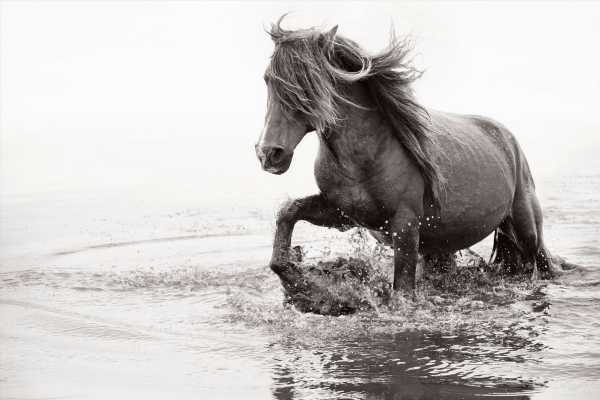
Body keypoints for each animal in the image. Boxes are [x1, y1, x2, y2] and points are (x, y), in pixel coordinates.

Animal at [253, 18, 568, 292]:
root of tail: (509, 140)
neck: (363, 160)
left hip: (527, 227)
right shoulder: (343, 213)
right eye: (268, 79)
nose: (269, 153)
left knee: (541, 261)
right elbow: (288, 212)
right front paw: (295, 278)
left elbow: (401, 291)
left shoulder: (404, 227)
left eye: (308, 84)